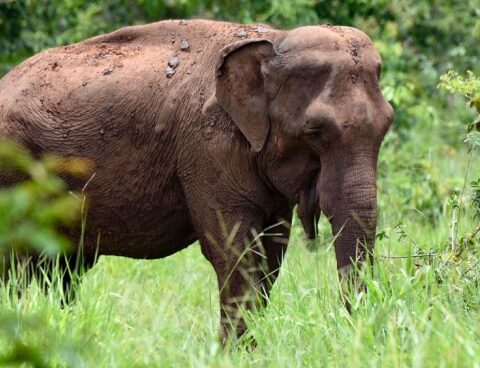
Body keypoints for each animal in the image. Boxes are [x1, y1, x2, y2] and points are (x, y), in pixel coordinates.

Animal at [0, 19, 392, 342]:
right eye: (314, 131)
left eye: (388, 124)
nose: (353, 333)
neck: (273, 40)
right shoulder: (208, 146)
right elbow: (234, 251)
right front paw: (235, 352)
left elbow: (271, 253)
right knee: (16, 261)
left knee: (63, 266)